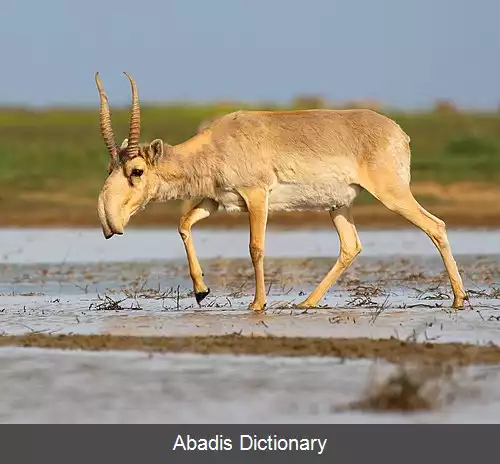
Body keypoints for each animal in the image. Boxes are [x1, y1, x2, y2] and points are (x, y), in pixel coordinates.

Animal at [94, 72, 468, 312]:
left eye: (137, 170)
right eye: (110, 167)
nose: (109, 223)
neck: (215, 144)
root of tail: (399, 133)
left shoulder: (256, 196)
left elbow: (255, 247)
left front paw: (257, 303)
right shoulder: (216, 201)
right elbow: (183, 224)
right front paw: (201, 291)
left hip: (392, 194)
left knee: (435, 226)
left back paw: (459, 299)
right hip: (338, 206)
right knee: (351, 246)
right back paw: (307, 302)